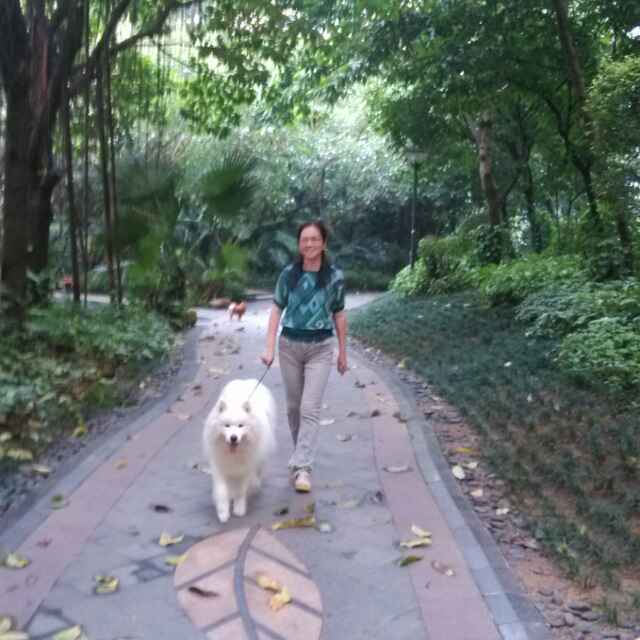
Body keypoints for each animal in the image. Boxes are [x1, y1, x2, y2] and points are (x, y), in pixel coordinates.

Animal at [203, 379, 276, 523]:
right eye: (227, 425)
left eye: (240, 426)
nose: (233, 438)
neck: (234, 454)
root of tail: (246, 381)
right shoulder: (220, 466)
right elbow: (222, 491)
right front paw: (223, 513)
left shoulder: (245, 468)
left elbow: (240, 491)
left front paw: (239, 508)